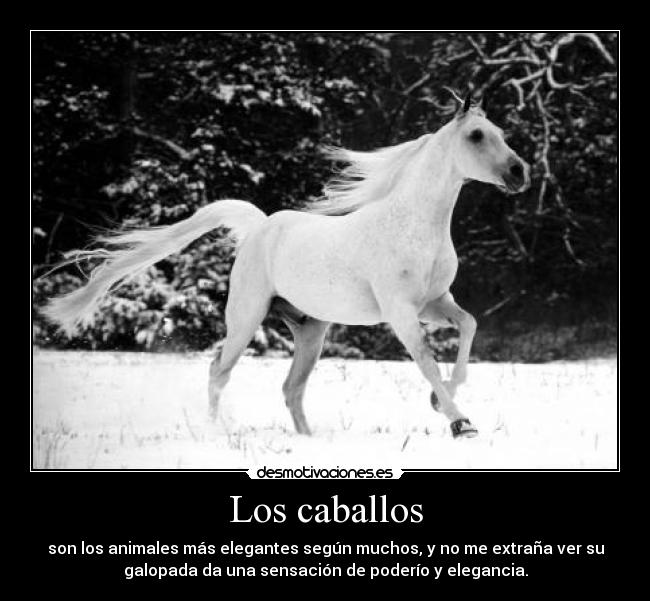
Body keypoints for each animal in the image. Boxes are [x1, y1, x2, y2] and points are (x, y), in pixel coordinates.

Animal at [43, 91, 530, 439]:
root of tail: (260, 227)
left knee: (291, 388)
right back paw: (216, 431)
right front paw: (460, 423)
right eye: (476, 136)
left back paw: (308, 440)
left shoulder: (435, 302)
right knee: (219, 371)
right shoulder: (401, 312)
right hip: (245, 317)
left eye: (501, 131)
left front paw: (437, 401)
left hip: (311, 331)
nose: (519, 173)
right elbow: (426, 360)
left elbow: (468, 327)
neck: (412, 225)